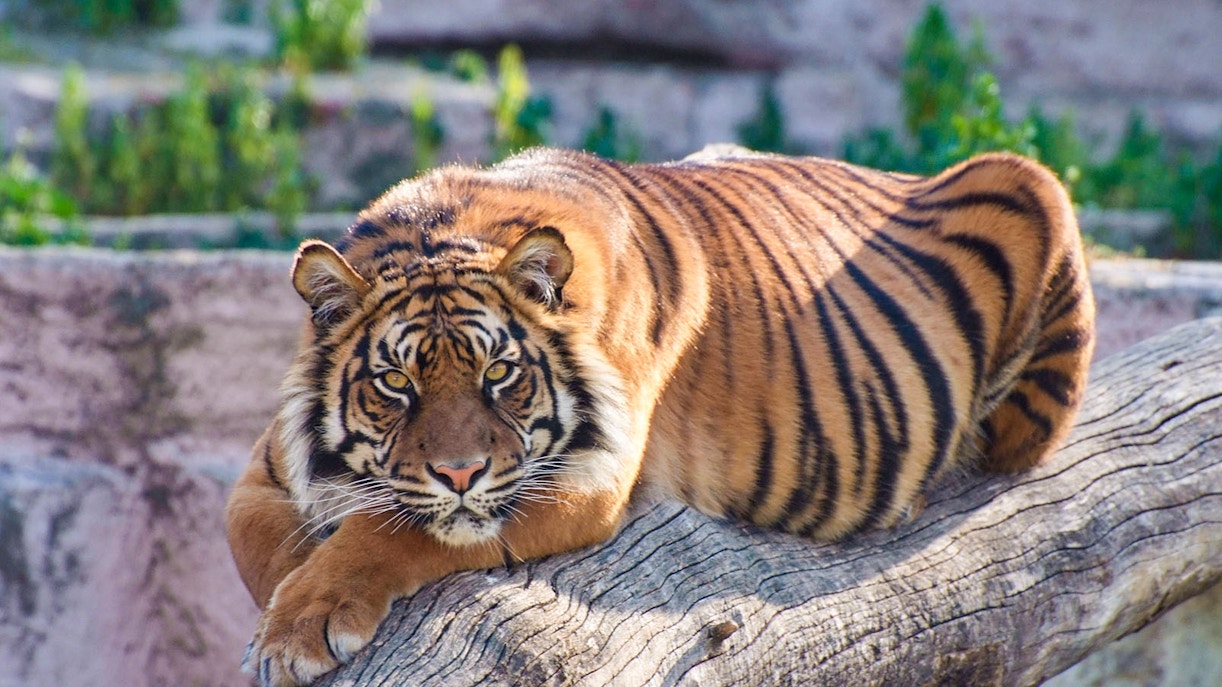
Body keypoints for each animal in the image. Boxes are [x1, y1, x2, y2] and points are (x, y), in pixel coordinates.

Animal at [225, 146, 1095, 686]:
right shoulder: (271, 464)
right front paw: (286, 606)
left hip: (1032, 191)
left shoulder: (582, 477)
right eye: (396, 382)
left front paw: (301, 624)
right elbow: (256, 537)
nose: (459, 472)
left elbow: (393, 528)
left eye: (500, 373)